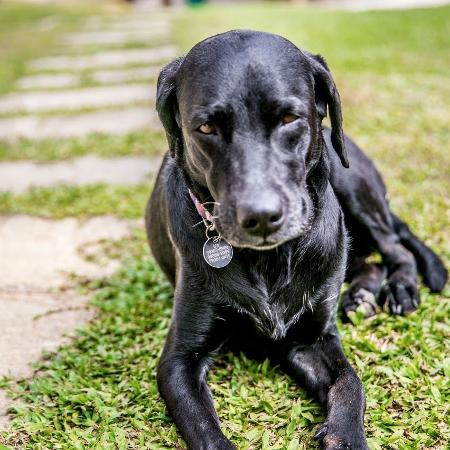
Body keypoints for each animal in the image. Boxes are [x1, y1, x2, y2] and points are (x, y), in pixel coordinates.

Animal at [146, 30, 448, 450]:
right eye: (206, 128)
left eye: (290, 118)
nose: (260, 216)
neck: (270, 259)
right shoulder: (179, 361)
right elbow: (207, 432)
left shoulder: (312, 339)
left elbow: (350, 383)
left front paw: (347, 436)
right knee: (366, 262)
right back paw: (361, 295)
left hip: (346, 177)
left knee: (394, 246)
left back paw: (400, 288)